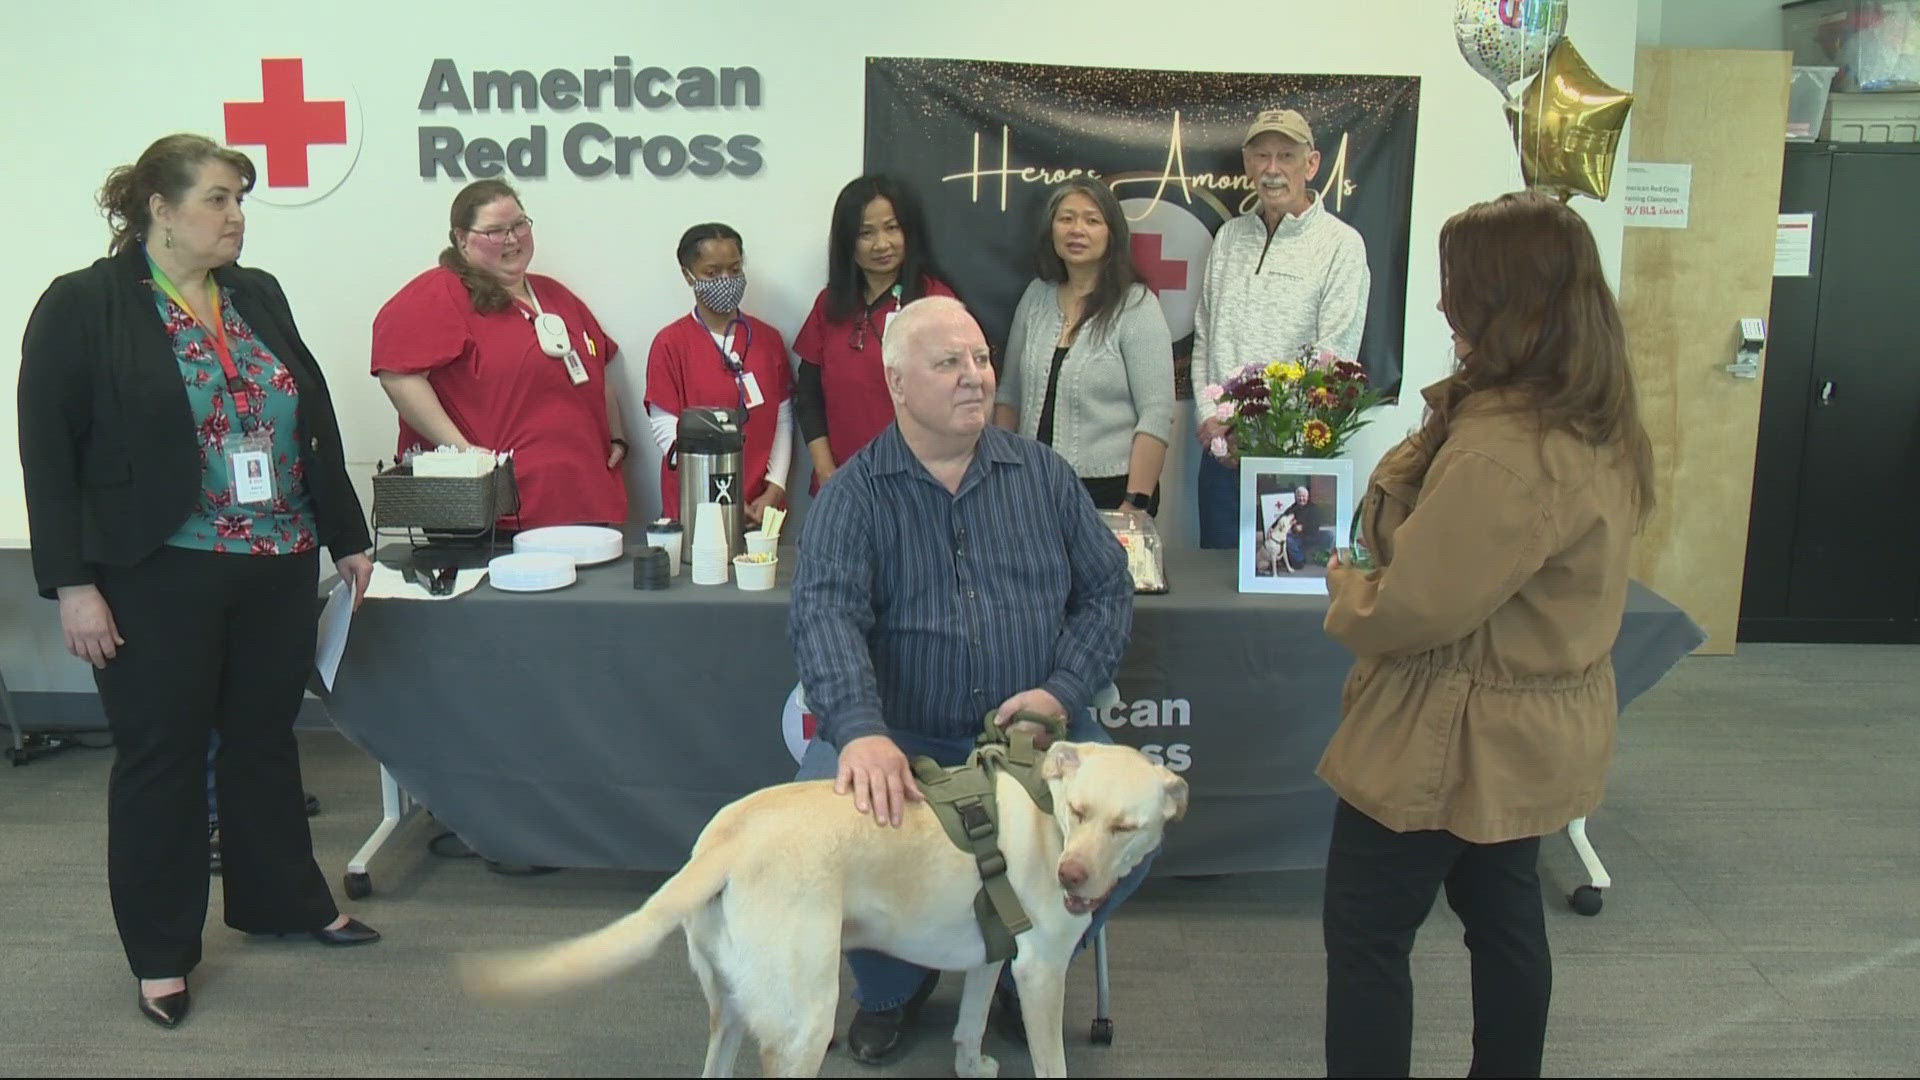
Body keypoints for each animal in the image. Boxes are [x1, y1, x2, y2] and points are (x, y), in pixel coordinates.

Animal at [464, 734, 1182, 1068]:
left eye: (1126, 826)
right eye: (1079, 811)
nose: (1071, 877)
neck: (1043, 813)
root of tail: (723, 842)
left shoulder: (991, 956)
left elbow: (969, 1023)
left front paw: (972, 1064)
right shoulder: (1039, 972)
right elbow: (1049, 1060)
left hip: (730, 1009)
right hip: (805, 1019)